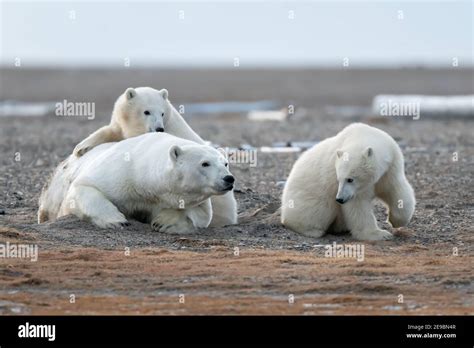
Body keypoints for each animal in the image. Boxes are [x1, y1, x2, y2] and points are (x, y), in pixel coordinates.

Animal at [38, 133, 234, 234]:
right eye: (205, 163)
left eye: (225, 163)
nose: (229, 179)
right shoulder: (119, 172)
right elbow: (84, 187)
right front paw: (116, 221)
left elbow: (201, 214)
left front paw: (163, 222)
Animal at [282, 123, 414, 241]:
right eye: (338, 179)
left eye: (350, 179)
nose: (340, 199)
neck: (361, 135)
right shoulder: (355, 190)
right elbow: (358, 205)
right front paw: (380, 234)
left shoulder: (390, 168)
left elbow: (396, 190)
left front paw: (396, 221)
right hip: (308, 195)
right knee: (319, 209)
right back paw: (312, 230)